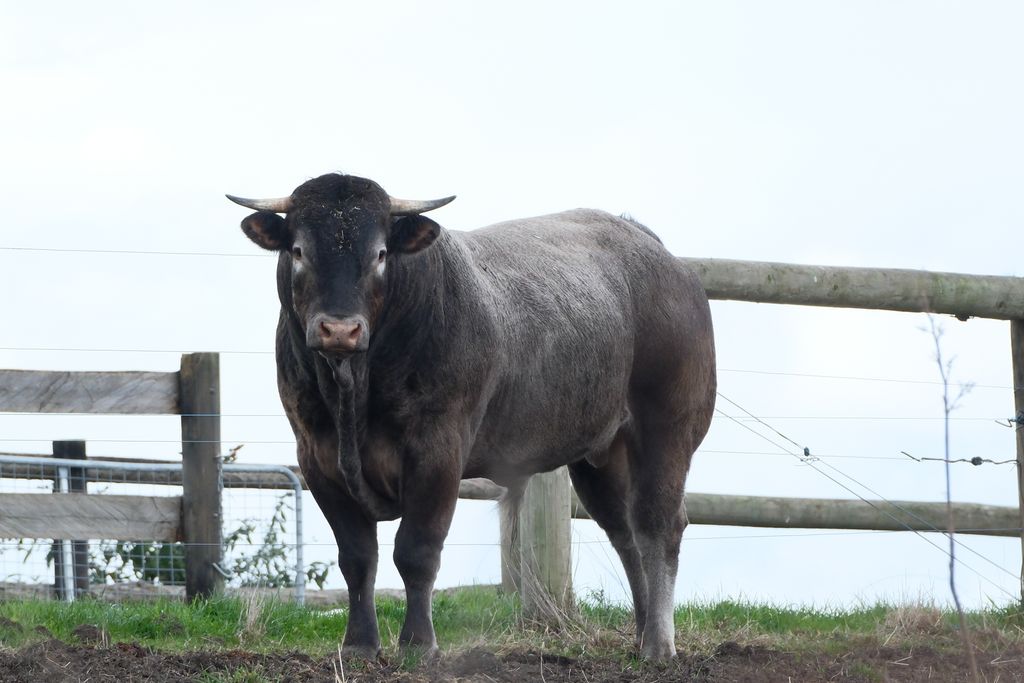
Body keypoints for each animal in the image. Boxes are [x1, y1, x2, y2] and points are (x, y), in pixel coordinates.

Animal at [227, 173, 716, 661]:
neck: (354, 391)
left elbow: (416, 552)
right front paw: (360, 645)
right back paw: (641, 632)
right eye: (298, 250)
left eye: (380, 254)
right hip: (601, 455)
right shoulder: (317, 458)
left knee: (658, 526)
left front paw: (418, 644)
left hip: (667, 429)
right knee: (626, 533)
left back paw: (659, 643)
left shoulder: (438, 452)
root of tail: (656, 252)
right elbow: (358, 557)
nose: (340, 330)